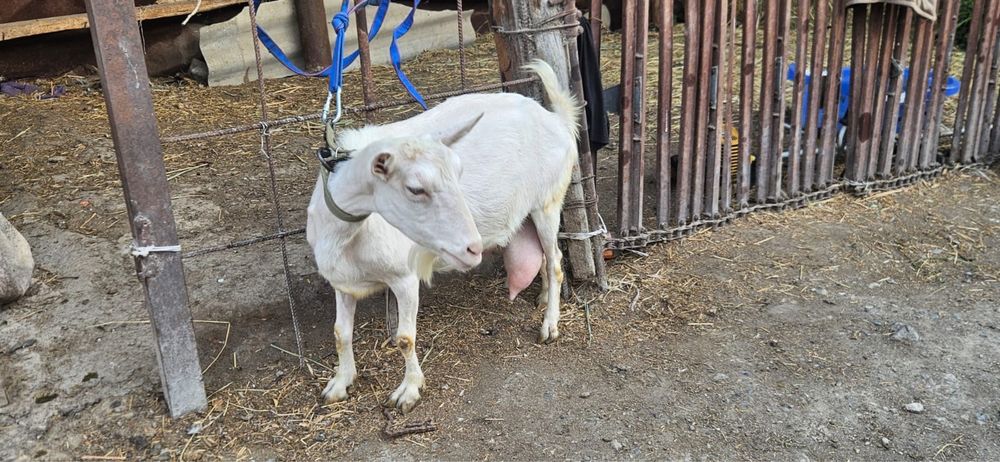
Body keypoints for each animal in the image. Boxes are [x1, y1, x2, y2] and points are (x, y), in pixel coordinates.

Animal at [306, 60, 580, 412]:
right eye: (415, 188)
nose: (472, 248)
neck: (346, 236)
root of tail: (557, 119)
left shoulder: (404, 277)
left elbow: (405, 338)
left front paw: (408, 391)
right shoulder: (342, 280)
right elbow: (341, 332)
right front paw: (339, 384)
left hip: (549, 200)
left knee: (556, 262)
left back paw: (550, 326)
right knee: (547, 258)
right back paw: (544, 297)